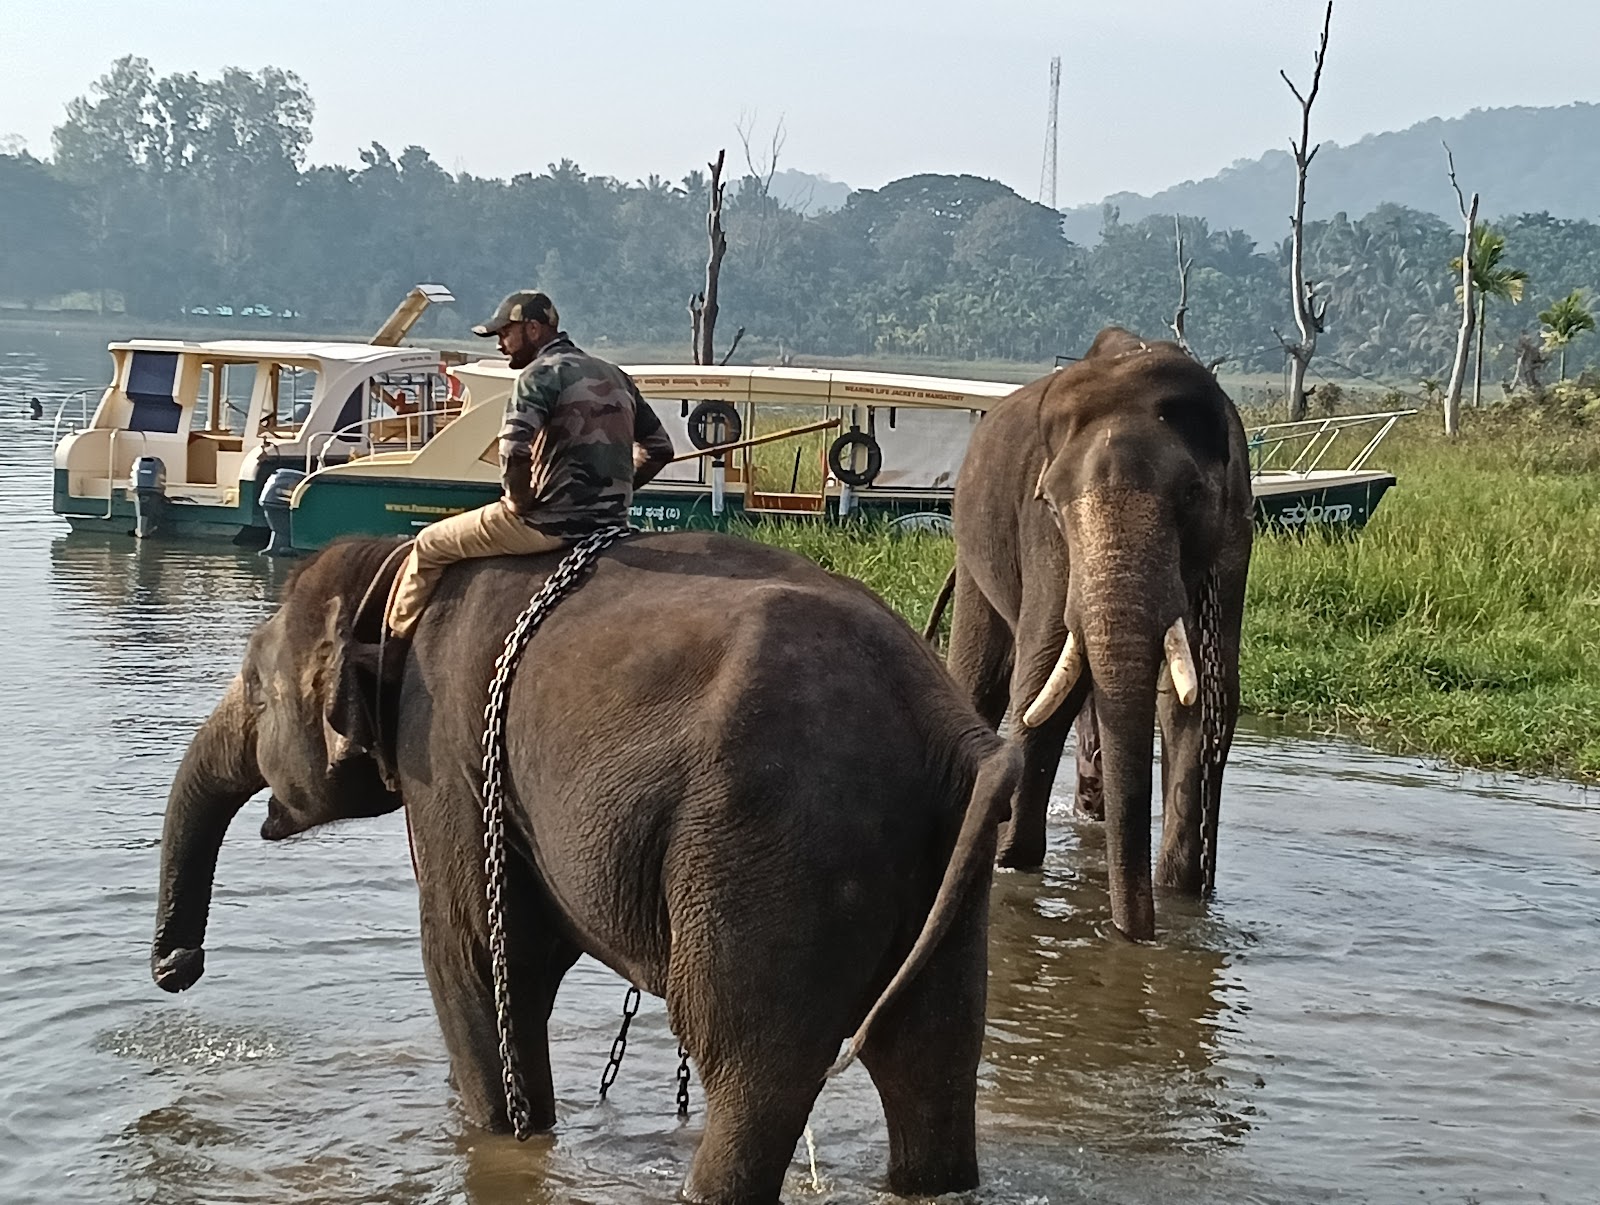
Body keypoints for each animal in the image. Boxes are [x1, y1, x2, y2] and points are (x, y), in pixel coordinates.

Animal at [148, 531, 1020, 1204]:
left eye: (254, 686)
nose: (177, 968)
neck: (393, 576)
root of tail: (957, 733)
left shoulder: (451, 756)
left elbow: (477, 960)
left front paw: (506, 1133)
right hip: (933, 866)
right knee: (930, 1055)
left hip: (778, 840)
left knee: (751, 1065)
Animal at [938, 328, 1252, 940]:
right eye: (1052, 504)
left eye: (1191, 496)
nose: (1135, 935)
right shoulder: (1042, 538)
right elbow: (1039, 681)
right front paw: (1012, 865)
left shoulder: (1235, 539)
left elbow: (1205, 701)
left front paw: (1182, 896)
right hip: (972, 548)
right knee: (982, 678)